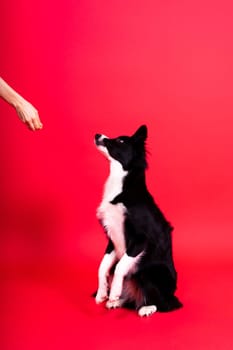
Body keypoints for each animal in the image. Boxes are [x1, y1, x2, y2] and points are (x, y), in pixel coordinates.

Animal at [93, 126, 181, 318]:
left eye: (120, 141)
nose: (97, 135)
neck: (121, 185)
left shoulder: (141, 239)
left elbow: (120, 266)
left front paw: (114, 291)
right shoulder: (112, 238)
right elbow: (102, 267)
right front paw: (103, 292)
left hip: (148, 272)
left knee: (164, 304)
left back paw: (147, 308)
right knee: (132, 299)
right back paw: (117, 301)